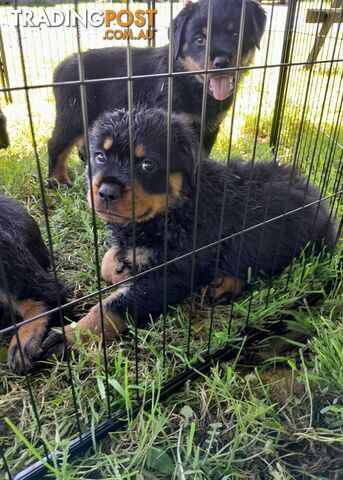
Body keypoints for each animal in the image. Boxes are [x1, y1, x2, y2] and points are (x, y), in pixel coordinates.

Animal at [42, 108, 336, 356]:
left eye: (147, 165)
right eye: (100, 157)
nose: (106, 192)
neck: (175, 208)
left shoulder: (177, 271)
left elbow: (113, 305)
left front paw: (71, 335)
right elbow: (108, 261)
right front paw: (122, 269)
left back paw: (226, 284)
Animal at [47, 0, 266, 186]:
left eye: (237, 34)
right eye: (199, 40)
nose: (221, 62)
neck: (189, 80)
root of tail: (60, 66)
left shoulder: (211, 126)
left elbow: (201, 157)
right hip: (74, 113)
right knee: (56, 144)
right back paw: (58, 180)